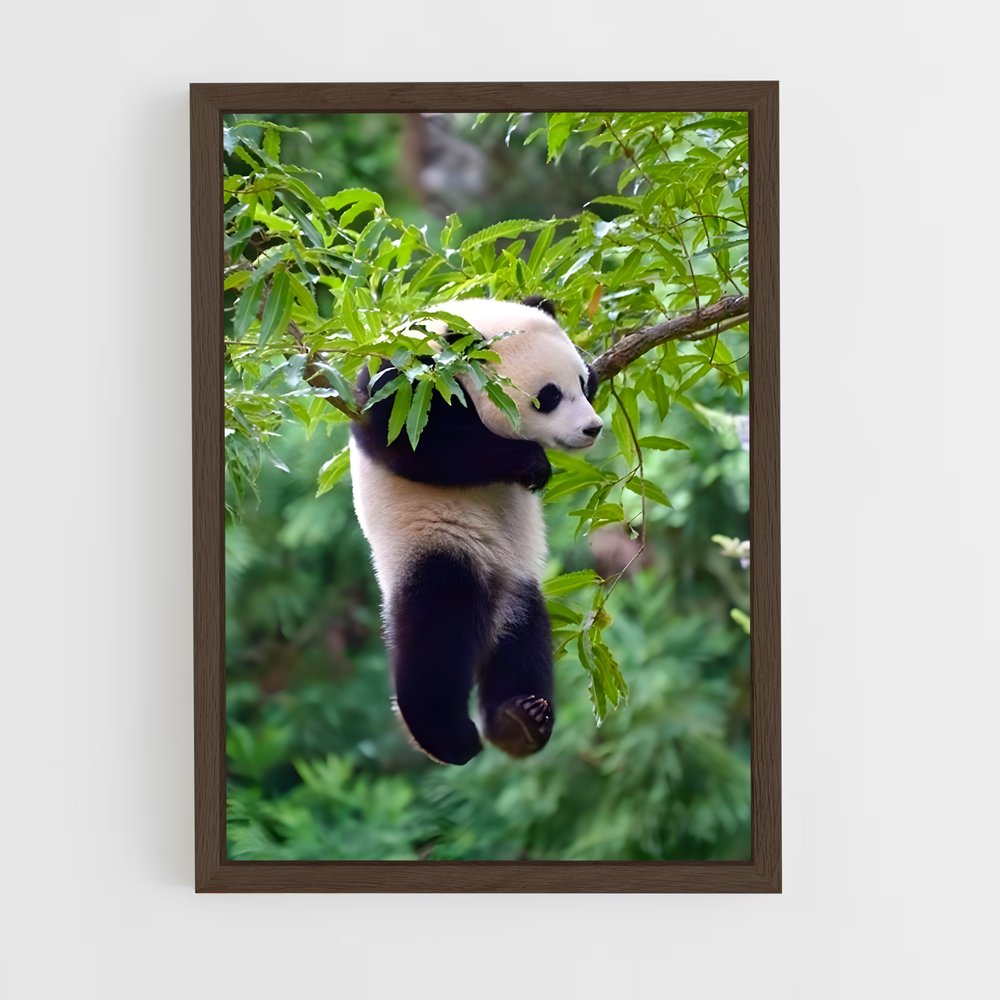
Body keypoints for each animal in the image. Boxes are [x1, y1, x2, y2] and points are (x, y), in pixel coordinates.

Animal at [349, 296, 602, 765]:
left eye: (582, 382)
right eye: (549, 396)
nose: (591, 428)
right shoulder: (406, 382)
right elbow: (417, 443)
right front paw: (532, 464)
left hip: (519, 583)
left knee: (524, 644)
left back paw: (520, 721)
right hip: (434, 545)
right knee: (436, 636)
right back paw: (450, 737)